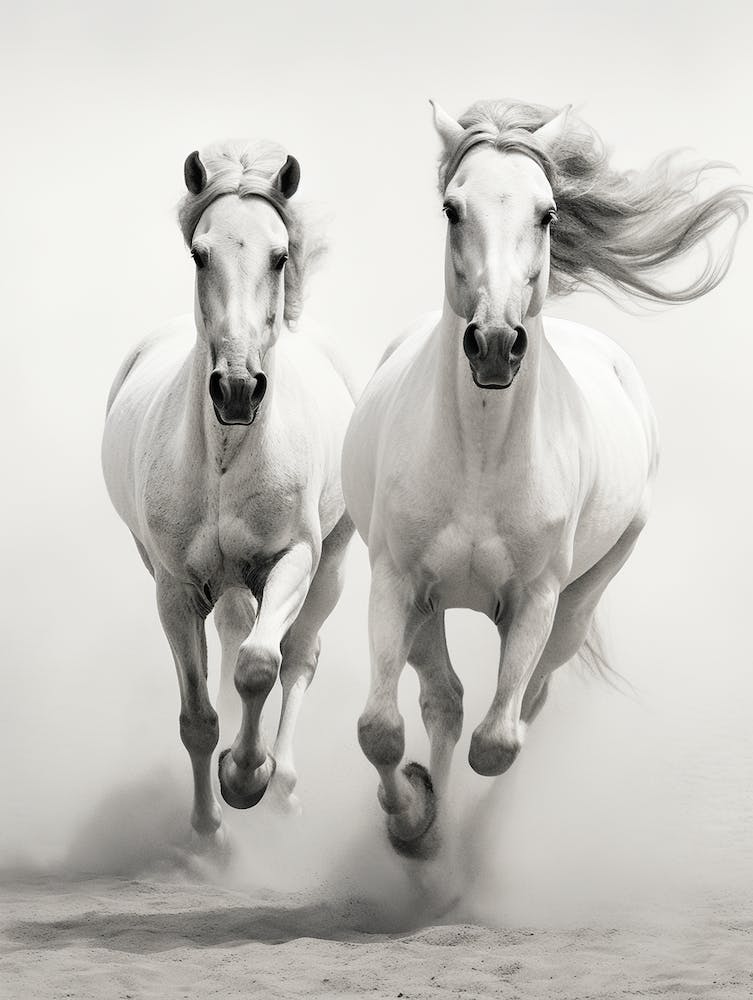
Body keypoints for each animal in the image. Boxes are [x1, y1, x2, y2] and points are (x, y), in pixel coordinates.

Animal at [102, 139, 355, 845]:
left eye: (279, 255)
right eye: (199, 253)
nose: (237, 389)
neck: (224, 456)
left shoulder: (294, 559)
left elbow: (259, 666)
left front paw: (247, 778)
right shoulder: (175, 588)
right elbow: (198, 716)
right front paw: (208, 829)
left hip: (331, 565)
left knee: (297, 656)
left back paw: (286, 786)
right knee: (236, 635)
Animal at [341, 99, 748, 860]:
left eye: (547, 212)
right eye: (452, 207)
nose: (496, 344)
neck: (479, 461)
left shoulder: (534, 600)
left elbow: (498, 742)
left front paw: (441, 824)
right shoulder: (399, 584)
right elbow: (382, 728)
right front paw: (412, 818)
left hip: (579, 601)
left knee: (525, 704)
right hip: (429, 607)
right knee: (443, 700)